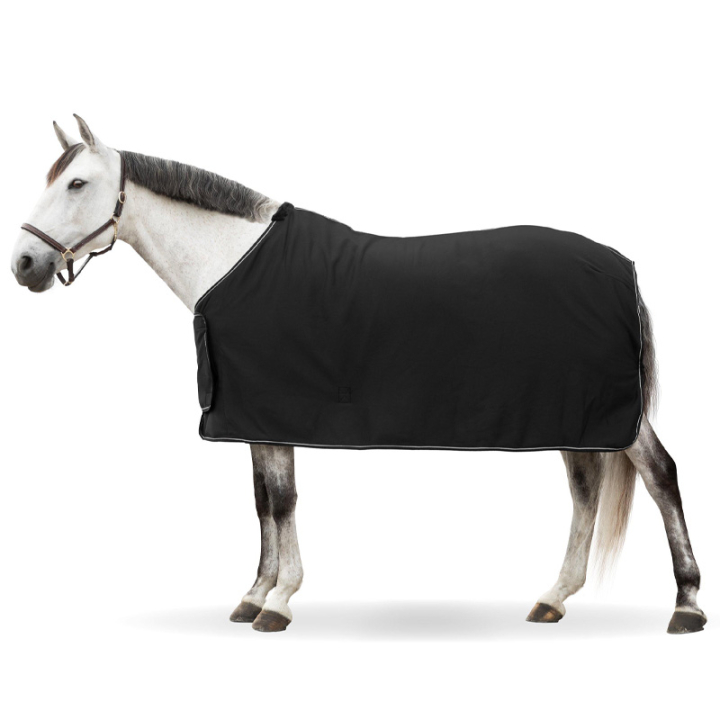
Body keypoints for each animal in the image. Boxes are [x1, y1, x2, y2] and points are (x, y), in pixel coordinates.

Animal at [11, 116, 706, 634]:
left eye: (76, 183)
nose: (24, 264)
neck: (236, 262)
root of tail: (621, 266)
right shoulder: (258, 417)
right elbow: (262, 502)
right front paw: (254, 593)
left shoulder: (276, 410)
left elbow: (282, 501)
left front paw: (278, 602)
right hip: (575, 410)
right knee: (586, 488)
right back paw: (554, 597)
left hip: (613, 412)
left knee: (660, 474)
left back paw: (687, 605)